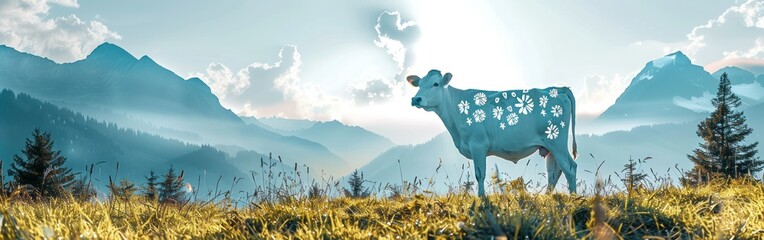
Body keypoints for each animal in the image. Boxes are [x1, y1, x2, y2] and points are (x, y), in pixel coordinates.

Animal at [408, 68, 576, 196]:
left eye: (435, 84)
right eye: (419, 84)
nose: (416, 99)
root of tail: (557, 89)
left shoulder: (478, 145)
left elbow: (479, 174)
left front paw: (482, 197)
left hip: (557, 142)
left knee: (569, 167)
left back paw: (573, 197)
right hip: (549, 147)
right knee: (554, 172)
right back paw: (547, 197)